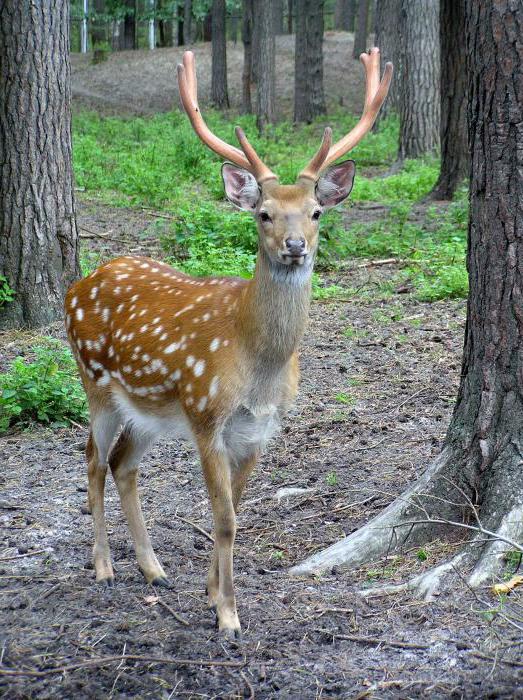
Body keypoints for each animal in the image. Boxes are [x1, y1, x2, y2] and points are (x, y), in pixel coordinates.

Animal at [65, 49, 392, 636]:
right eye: (264, 213)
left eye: (316, 212)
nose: (294, 246)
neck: (256, 364)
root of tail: (75, 285)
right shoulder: (206, 416)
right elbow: (223, 517)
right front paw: (228, 615)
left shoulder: (260, 429)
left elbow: (236, 512)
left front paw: (211, 590)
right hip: (95, 381)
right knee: (93, 460)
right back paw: (103, 566)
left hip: (149, 409)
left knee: (124, 464)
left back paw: (154, 569)